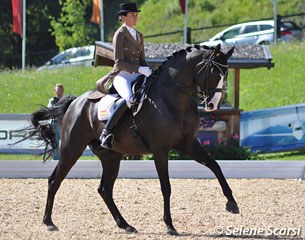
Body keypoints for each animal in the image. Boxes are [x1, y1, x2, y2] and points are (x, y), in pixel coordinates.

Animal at [26, 44, 238, 235]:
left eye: (226, 73)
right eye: (213, 71)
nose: (212, 105)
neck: (174, 98)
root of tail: (76, 102)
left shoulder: (188, 143)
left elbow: (215, 165)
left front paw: (232, 203)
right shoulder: (160, 150)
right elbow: (166, 187)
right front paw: (169, 225)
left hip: (111, 156)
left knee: (105, 189)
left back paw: (125, 225)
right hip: (72, 148)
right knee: (55, 180)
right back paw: (49, 223)